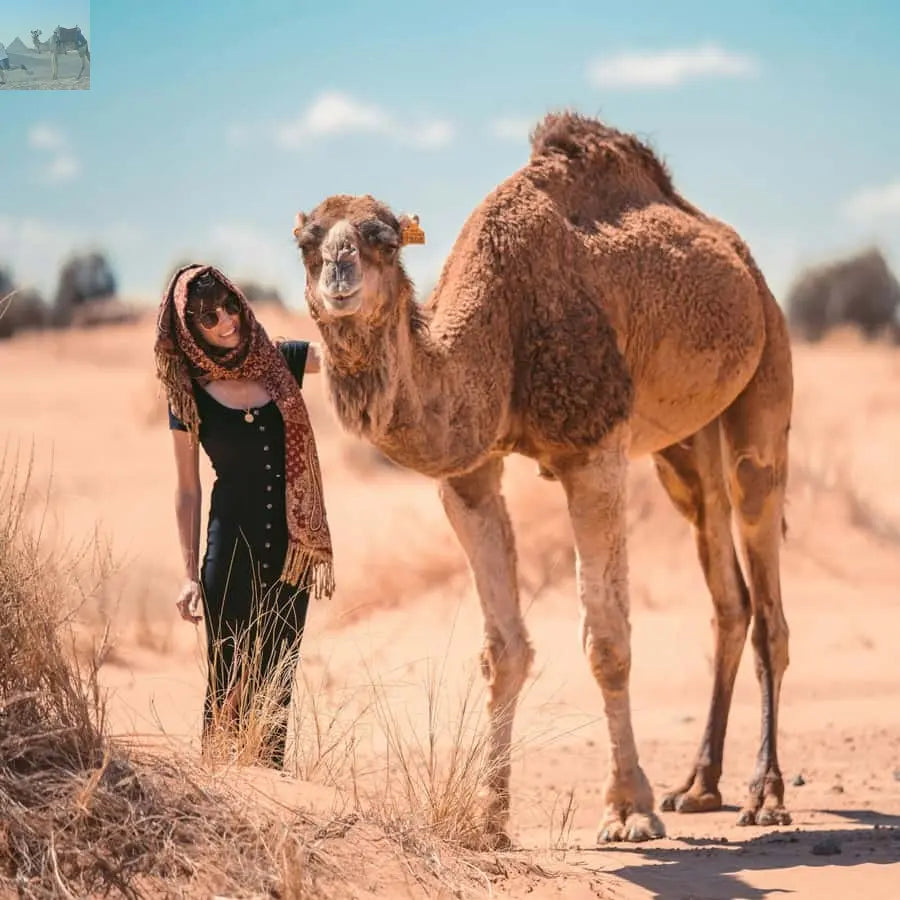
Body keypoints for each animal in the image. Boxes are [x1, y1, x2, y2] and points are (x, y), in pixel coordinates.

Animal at [292, 112, 793, 846]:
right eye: (307, 242)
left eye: (382, 240)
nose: (338, 275)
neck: (499, 324)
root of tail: (742, 259)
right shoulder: (469, 472)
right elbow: (503, 649)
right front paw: (489, 817)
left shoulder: (594, 448)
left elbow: (607, 639)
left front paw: (628, 809)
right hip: (683, 449)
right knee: (727, 591)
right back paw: (699, 786)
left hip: (766, 378)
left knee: (764, 580)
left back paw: (766, 794)